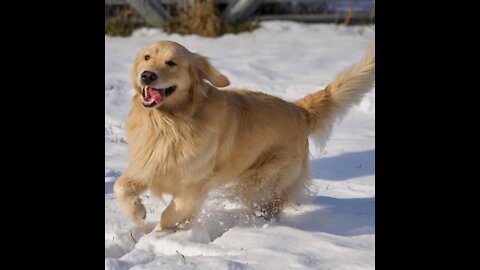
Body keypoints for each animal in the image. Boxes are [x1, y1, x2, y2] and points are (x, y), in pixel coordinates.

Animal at [113, 40, 376, 230]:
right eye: (147, 57)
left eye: (171, 63)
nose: (147, 75)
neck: (170, 122)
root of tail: (299, 110)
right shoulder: (149, 165)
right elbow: (120, 186)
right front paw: (137, 213)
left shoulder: (194, 186)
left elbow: (170, 215)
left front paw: (159, 234)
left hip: (262, 178)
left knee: (271, 203)